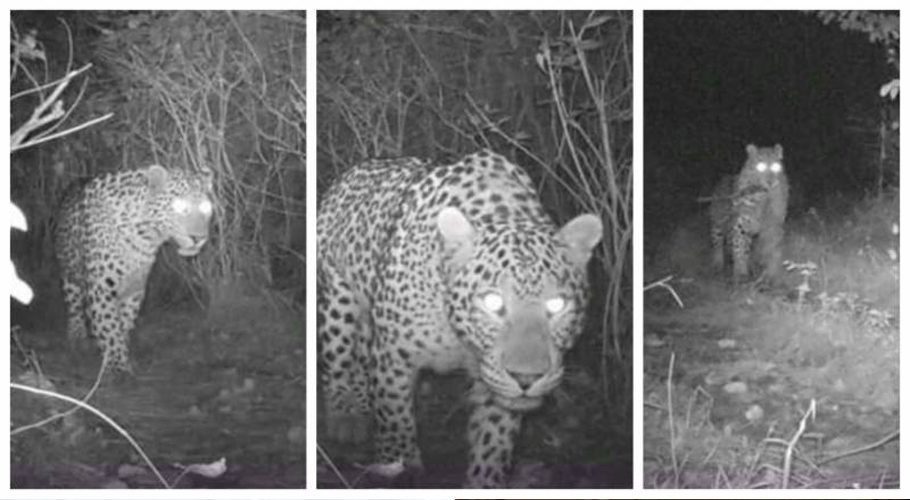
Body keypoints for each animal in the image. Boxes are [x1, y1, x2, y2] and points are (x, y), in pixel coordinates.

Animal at [55, 165, 214, 374]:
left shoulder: (135, 287)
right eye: (180, 207)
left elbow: (123, 323)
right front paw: (117, 367)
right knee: (74, 308)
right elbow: (109, 326)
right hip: (69, 275)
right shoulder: (101, 287)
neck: (145, 236)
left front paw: (123, 356)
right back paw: (76, 338)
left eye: (206, 208)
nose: (199, 238)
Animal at [317, 150, 603, 488]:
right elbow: (395, 421)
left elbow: (492, 441)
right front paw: (399, 469)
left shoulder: (492, 378)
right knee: (337, 358)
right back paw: (345, 417)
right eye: (492, 302)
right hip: (337, 299)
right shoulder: (393, 358)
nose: (526, 379)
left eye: (557, 305)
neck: (457, 334)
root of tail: (358, 168)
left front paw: (484, 480)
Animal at [709, 143, 789, 284]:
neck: (763, 198)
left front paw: (773, 274)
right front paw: (741, 274)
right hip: (717, 224)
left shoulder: (772, 227)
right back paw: (718, 264)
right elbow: (740, 248)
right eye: (760, 166)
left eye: (775, 166)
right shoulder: (740, 226)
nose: (770, 181)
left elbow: (772, 249)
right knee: (717, 244)